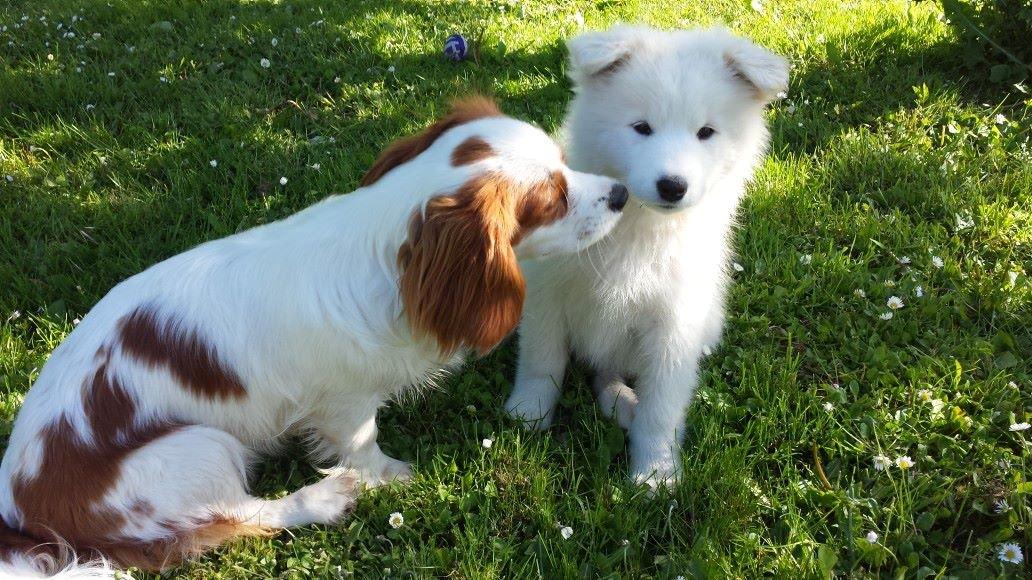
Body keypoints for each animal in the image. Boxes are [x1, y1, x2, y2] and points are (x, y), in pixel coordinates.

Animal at [507, 28, 788, 487]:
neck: (638, 226)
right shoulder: (548, 291)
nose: (672, 185)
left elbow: (662, 405)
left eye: (706, 132)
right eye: (641, 128)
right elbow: (542, 359)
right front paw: (528, 412)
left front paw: (655, 472)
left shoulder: (674, 323)